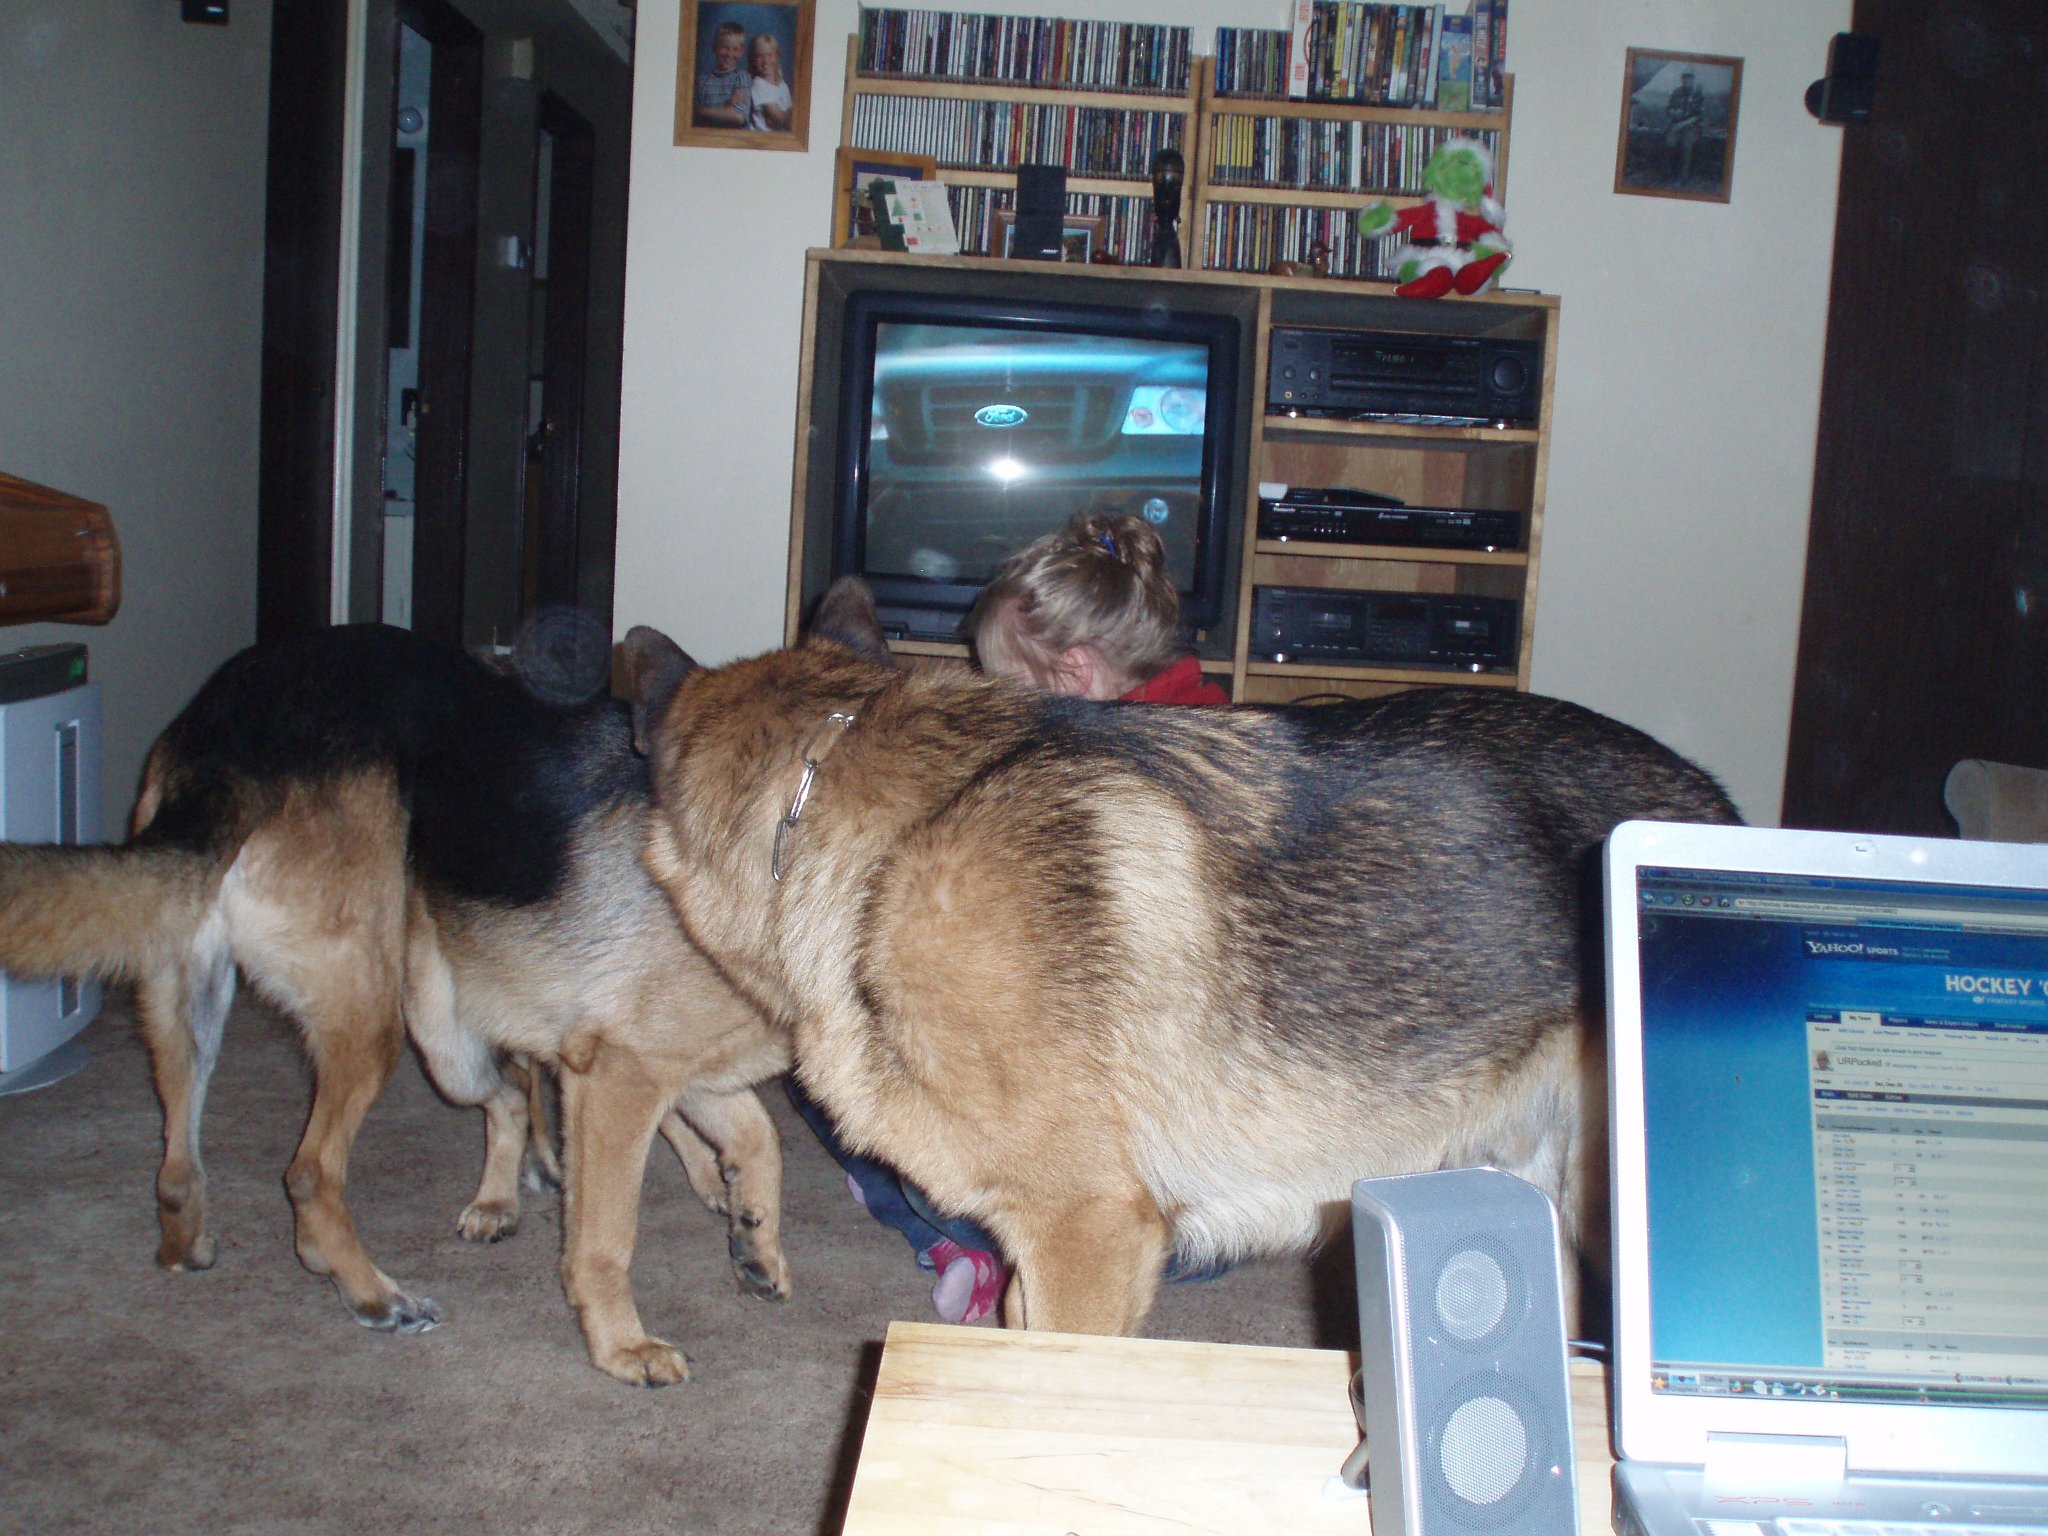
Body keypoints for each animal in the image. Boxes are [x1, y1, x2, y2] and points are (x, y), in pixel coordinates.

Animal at [0, 623, 791, 1385]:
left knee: (181, 1162)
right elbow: (611, 1225)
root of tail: (231, 737)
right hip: (400, 1025)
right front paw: (625, 1343)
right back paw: (377, 1292)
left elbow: (757, 1134)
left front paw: (753, 1235)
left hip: (202, 1002)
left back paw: (193, 1238)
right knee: (318, 1172)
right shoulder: (624, 1065)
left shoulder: (653, 1060)